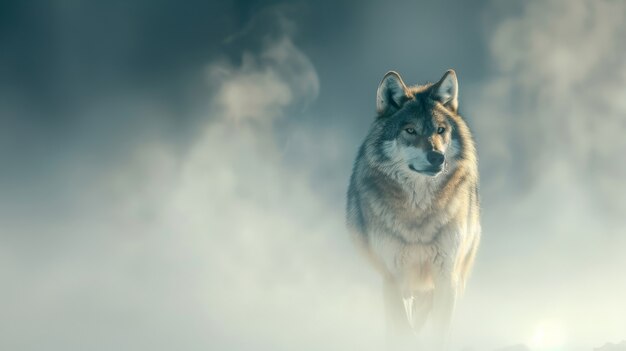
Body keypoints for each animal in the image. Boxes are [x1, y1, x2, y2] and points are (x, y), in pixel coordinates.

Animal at [346, 70, 478, 350]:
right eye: (410, 130)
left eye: (440, 130)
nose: (437, 157)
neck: (419, 212)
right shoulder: (393, 278)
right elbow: (402, 332)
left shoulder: (446, 277)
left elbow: (439, 334)